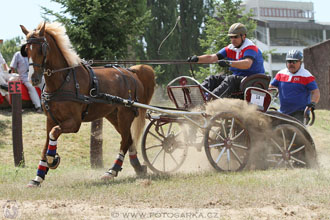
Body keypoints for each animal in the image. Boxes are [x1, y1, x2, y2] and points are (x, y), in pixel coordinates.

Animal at [21, 21, 156, 187]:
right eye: (26, 50)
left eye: (41, 48)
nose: (33, 78)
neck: (63, 80)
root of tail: (131, 72)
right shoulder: (50, 119)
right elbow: (46, 143)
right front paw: (38, 177)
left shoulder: (74, 123)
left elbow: (54, 133)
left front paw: (52, 158)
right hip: (113, 115)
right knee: (129, 139)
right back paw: (137, 168)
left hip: (125, 114)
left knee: (125, 140)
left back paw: (111, 171)